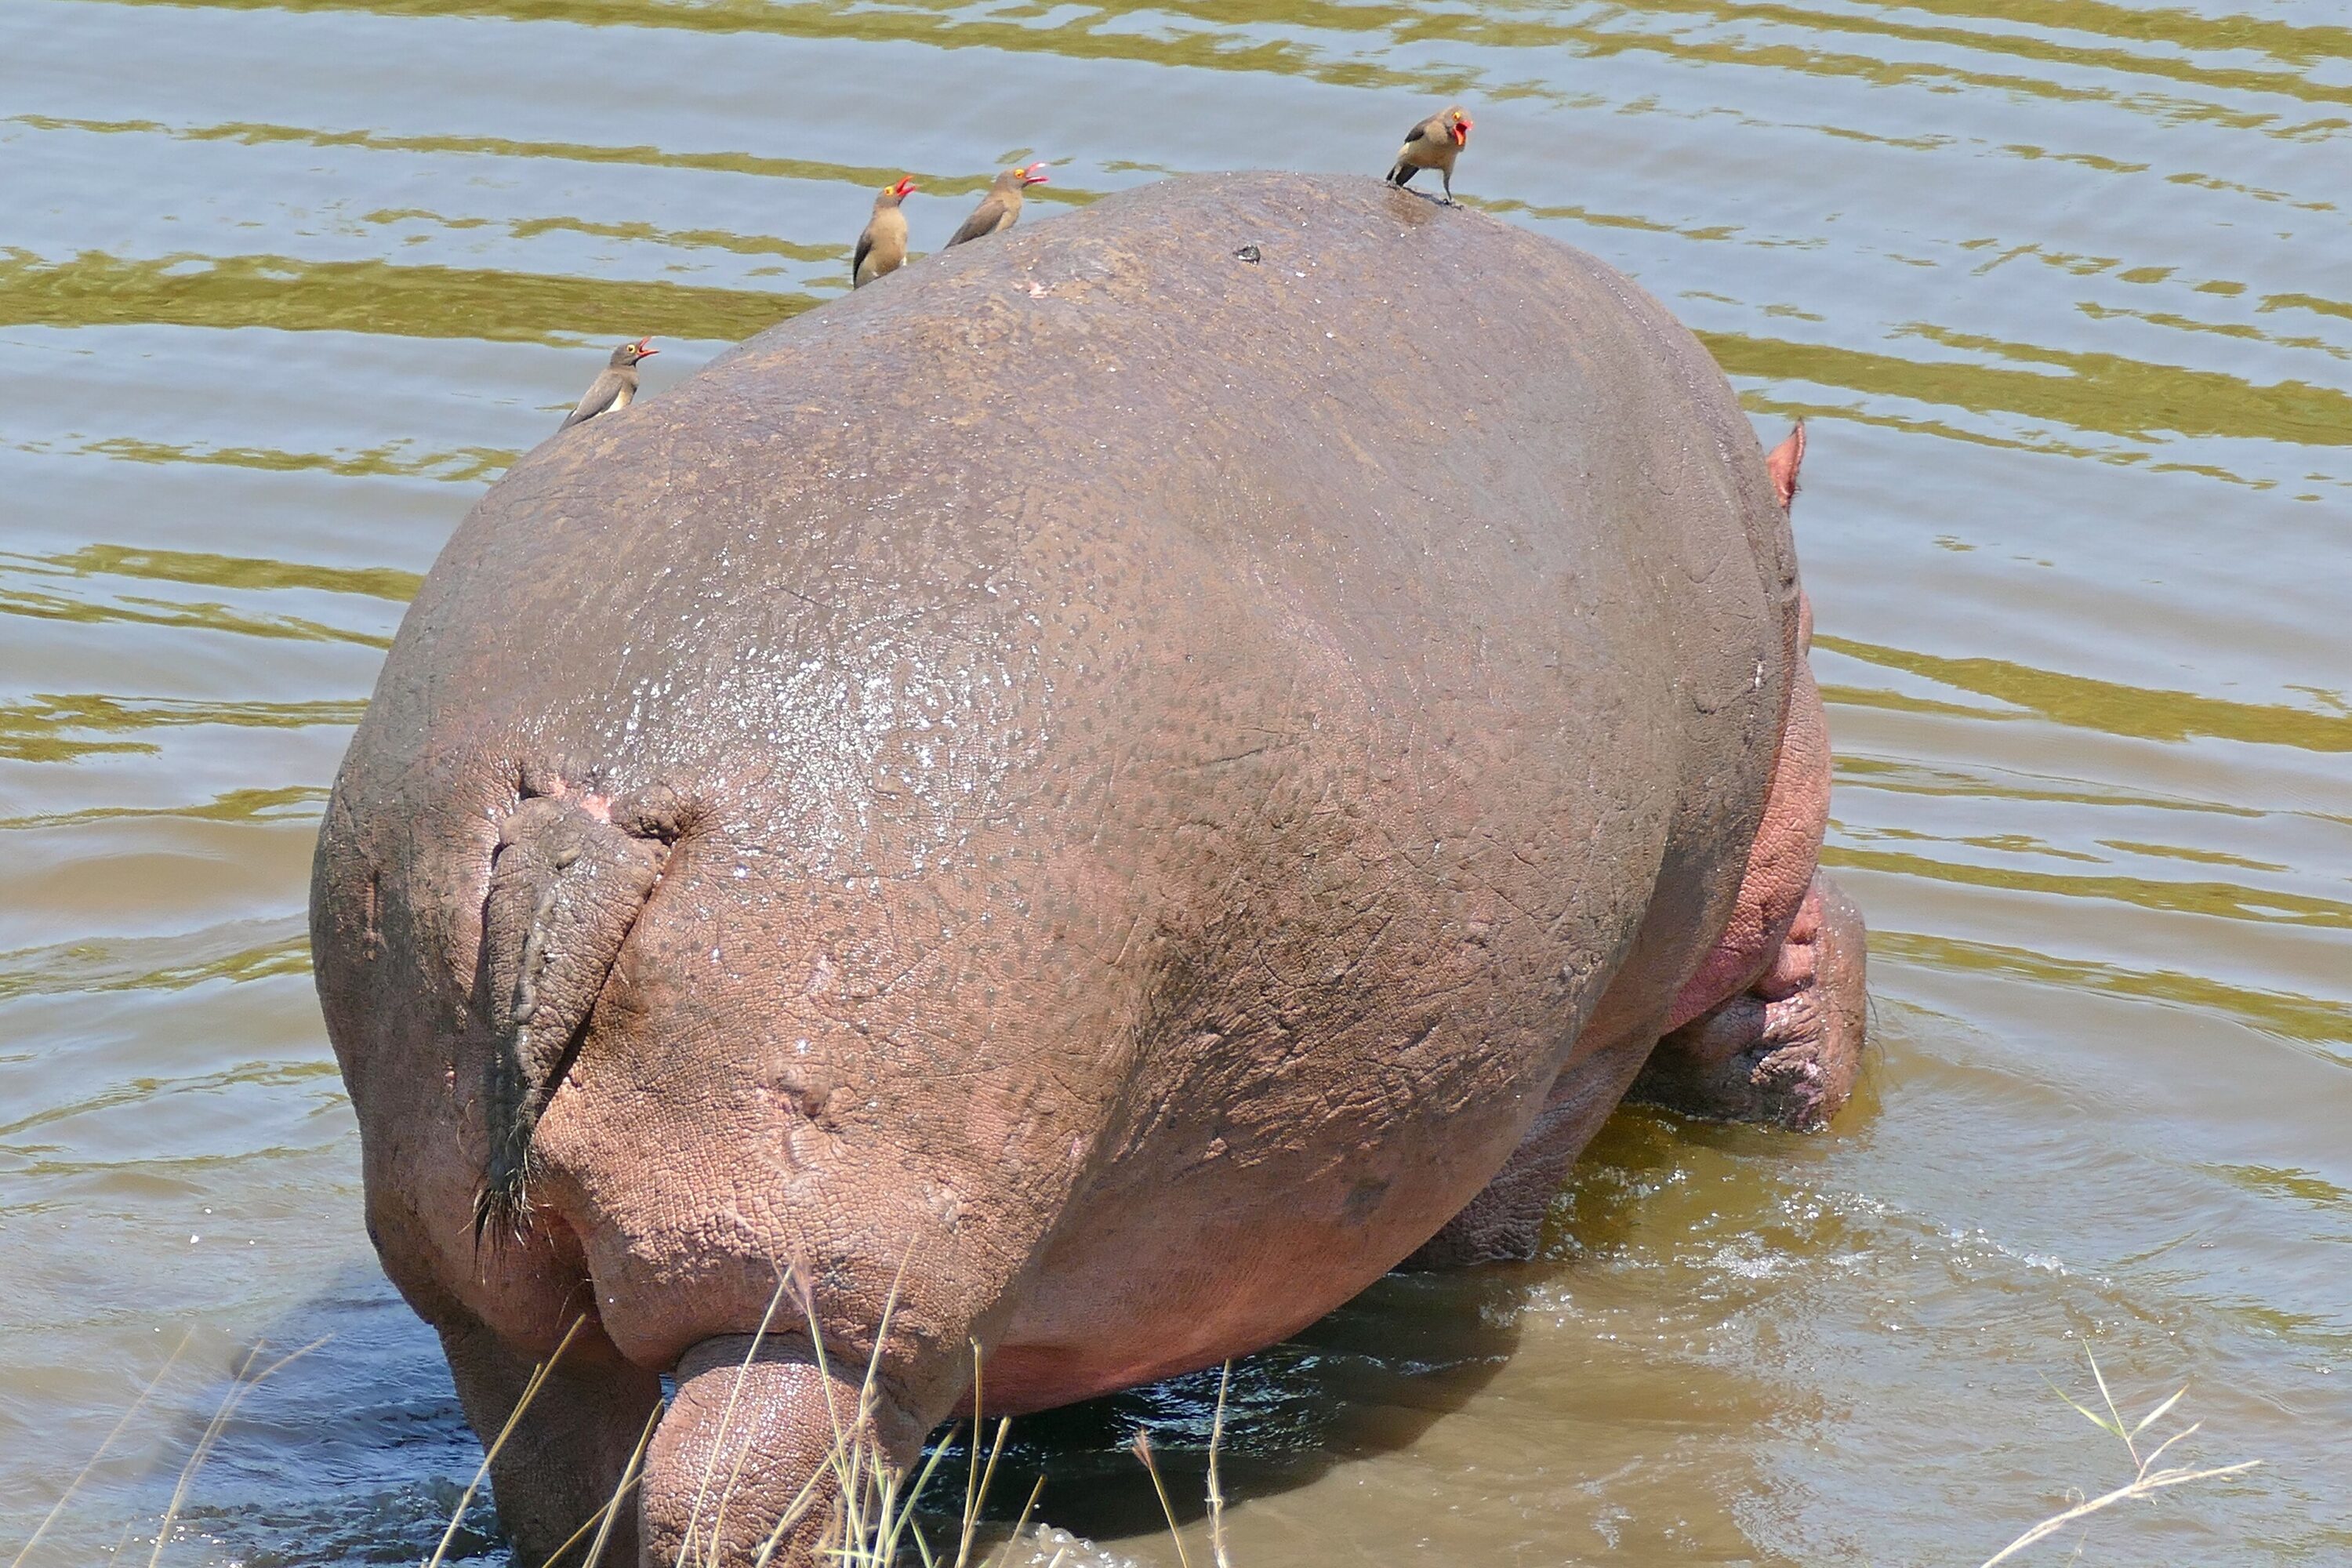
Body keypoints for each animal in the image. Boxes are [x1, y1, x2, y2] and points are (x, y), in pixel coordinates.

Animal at [309, 171, 1866, 1566]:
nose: (1824, 1011)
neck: (1774, 608)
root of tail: (586, 800)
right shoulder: (1581, 1049)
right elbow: (1484, 1245)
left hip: (501, 1272)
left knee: (561, 1478)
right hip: (822, 1288)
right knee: (734, 1497)